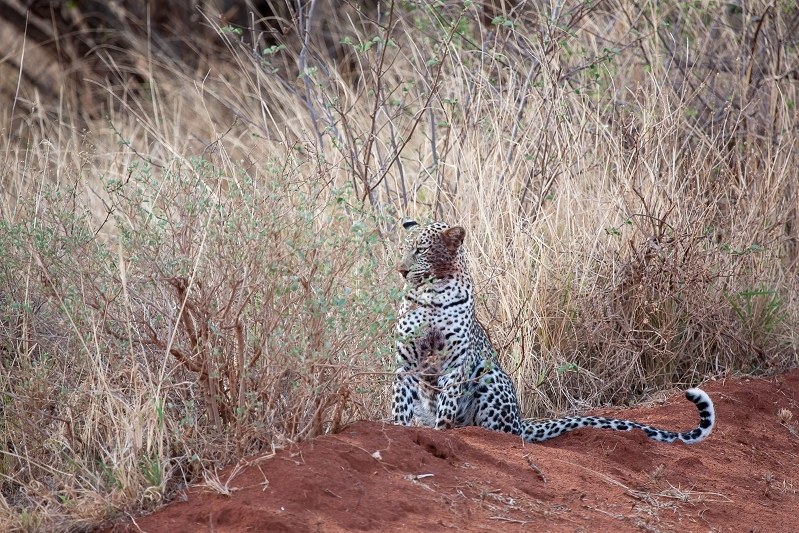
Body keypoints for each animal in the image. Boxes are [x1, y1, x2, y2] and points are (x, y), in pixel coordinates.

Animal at [390, 218, 716, 442]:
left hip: (491, 375)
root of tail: (520, 421)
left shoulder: (457, 362)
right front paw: (397, 429)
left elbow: (446, 406)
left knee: (503, 431)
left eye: (420, 250)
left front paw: (442, 432)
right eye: (403, 249)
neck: (432, 294)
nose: (401, 270)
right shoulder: (405, 364)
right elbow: (399, 406)